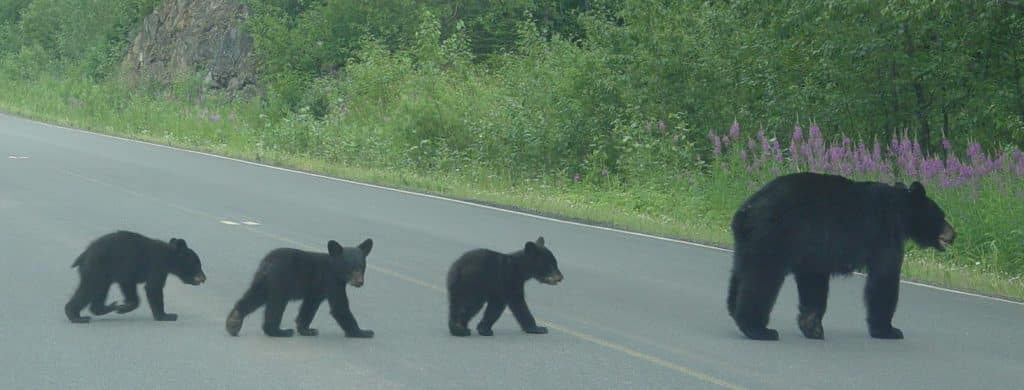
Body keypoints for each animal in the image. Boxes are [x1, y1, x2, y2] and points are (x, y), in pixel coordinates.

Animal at [64, 231, 205, 321]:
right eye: (197, 263)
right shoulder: (156, 266)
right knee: (89, 288)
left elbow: (129, 286)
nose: (204, 277)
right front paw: (166, 316)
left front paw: (124, 306)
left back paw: (107, 307)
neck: (167, 255)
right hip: (97, 269)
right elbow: (153, 288)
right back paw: (76, 316)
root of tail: (84, 254)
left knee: (99, 290)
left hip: (103, 273)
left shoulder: (127, 273)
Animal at [224, 238, 376, 335]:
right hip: (279, 282)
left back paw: (234, 321)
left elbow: (309, 306)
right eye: (351, 268)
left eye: (362, 266)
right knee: (276, 305)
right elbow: (339, 307)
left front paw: (306, 329)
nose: (359, 282)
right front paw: (363, 332)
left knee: (253, 297)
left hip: (263, 282)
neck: (334, 267)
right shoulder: (331, 281)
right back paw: (278, 331)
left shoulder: (316, 290)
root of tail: (267, 262)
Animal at [729, 171, 950, 339]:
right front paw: (888, 329)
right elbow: (884, 277)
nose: (953, 233)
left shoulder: (812, 250)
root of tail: (745, 211)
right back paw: (758, 329)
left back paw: (734, 310)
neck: (898, 210)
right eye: (942, 215)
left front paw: (811, 326)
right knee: (762, 279)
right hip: (771, 237)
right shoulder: (884, 236)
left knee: (741, 272)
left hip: (746, 244)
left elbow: (813, 281)